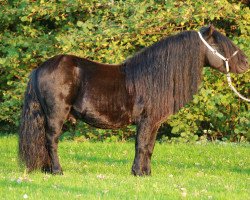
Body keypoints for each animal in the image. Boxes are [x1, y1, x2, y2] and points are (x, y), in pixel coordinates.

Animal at [19, 25, 248, 175]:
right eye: (221, 44)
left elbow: (149, 147)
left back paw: (47, 169)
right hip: (56, 115)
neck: (155, 75)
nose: (246, 62)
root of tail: (40, 68)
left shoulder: (154, 123)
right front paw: (138, 172)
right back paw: (57, 170)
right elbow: (141, 146)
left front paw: (146, 173)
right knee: (51, 141)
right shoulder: (146, 120)